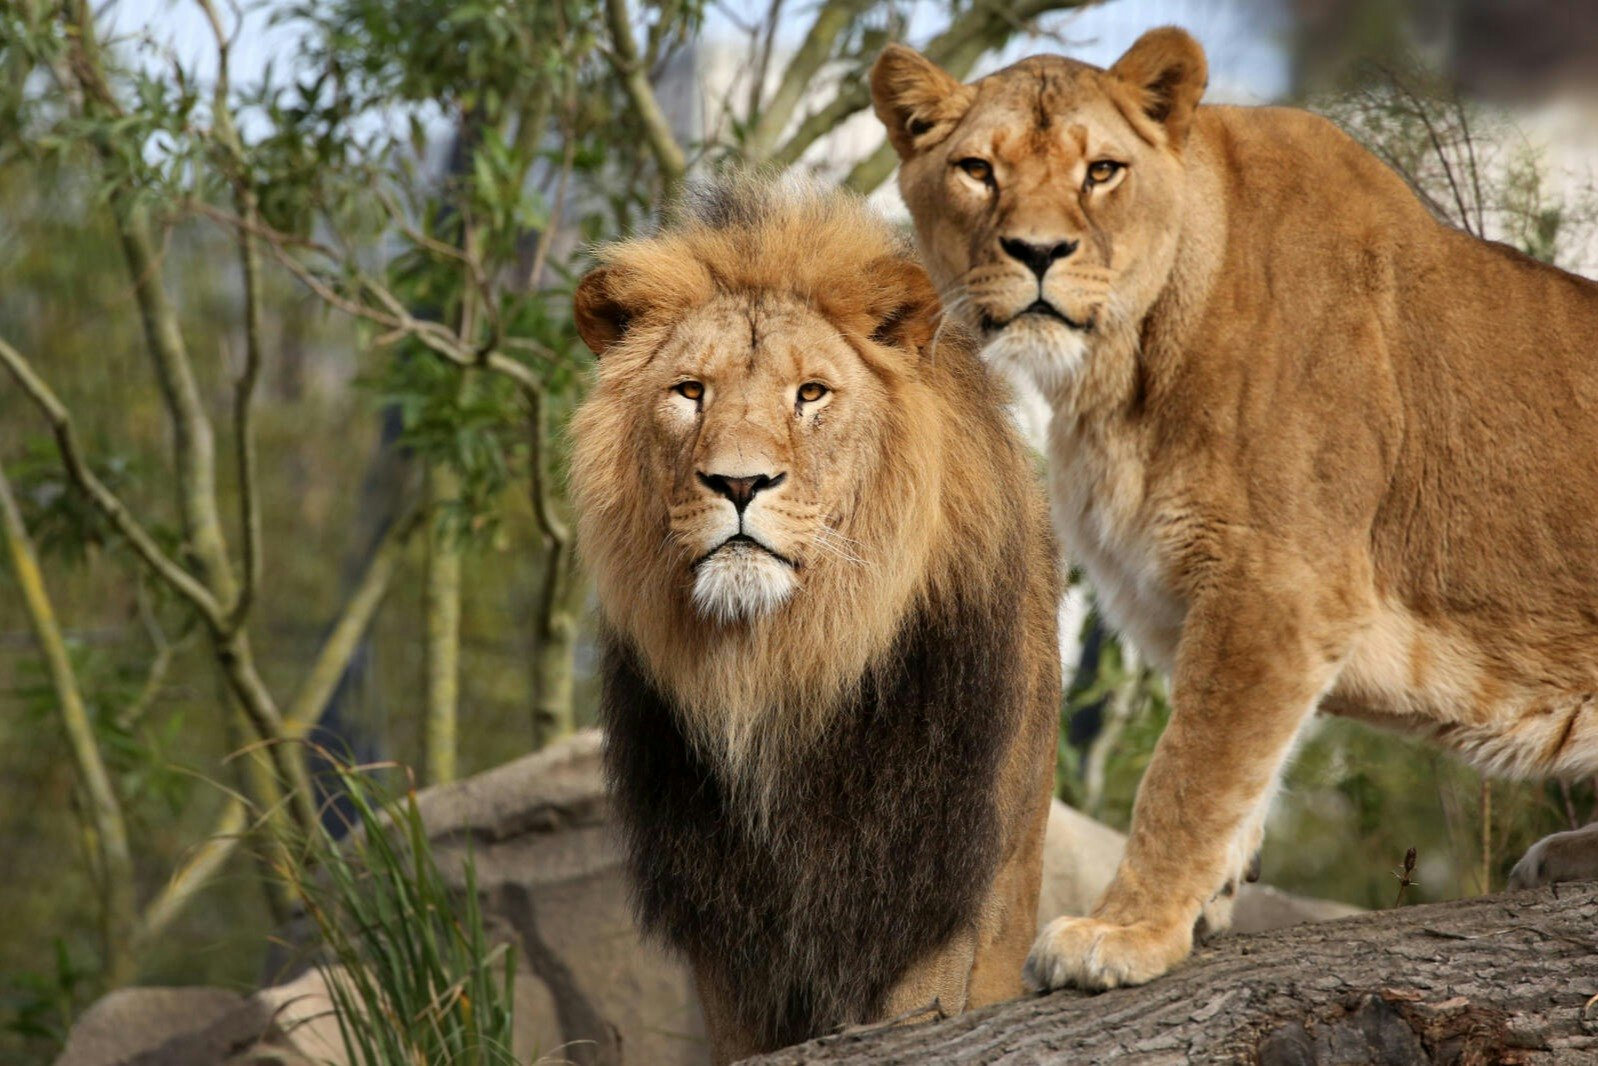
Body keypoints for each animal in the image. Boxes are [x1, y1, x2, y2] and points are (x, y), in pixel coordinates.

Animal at [568, 178, 1067, 1061]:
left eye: (810, 394)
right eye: (690, 391)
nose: (739, 484)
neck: (777, 673)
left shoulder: (932, 899)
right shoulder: (729, 946)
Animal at [875, 27, 1598, 990]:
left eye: (1102, 171)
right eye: (977, 171)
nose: (1036, 252)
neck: (1119, 374)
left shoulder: (1279, 582)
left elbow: (1189, 774)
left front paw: (1122, 931)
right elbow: (1232, 773)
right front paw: (1201, 908)